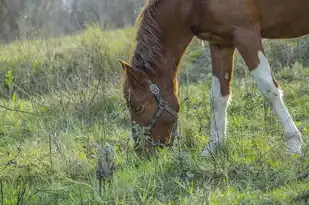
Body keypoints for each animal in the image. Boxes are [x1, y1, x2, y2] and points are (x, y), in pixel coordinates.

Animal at [118, 0, 306, 155]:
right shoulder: (221, 43)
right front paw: (213, 147)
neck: (196, 4)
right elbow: (218, 96)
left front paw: (293, 144)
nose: (141, 151)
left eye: (138, 107)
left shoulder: (246, 34)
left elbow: (268, 88)